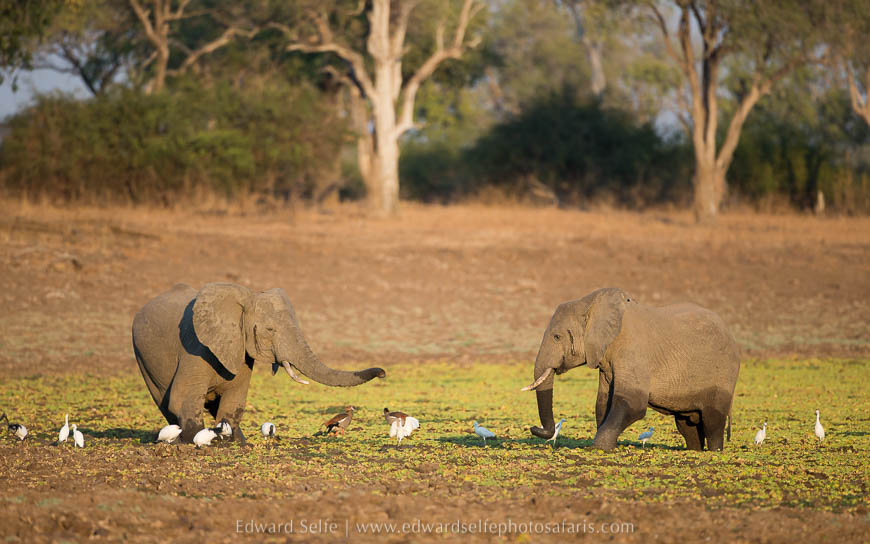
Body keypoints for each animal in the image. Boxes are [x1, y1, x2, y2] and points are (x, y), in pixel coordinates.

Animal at [132, 283, 385, 444]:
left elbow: (234, 400)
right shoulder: (194, 346)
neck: (246, 300)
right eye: (270, 330)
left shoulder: (243, 351)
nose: (382, 373)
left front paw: (235, 444)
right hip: (142, 356)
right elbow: (183, 398)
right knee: (164, 401)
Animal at [523, 287, 740, 451]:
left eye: (557, 337)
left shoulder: (634, 352)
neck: (592, 304)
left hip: (724, 375)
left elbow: (632, 403)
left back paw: (714, 451)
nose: (533, 428)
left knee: (713, 423)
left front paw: (600, 448)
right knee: (687, 427)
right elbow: (603, 403)